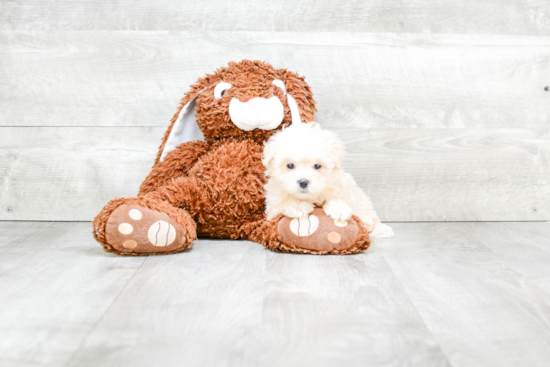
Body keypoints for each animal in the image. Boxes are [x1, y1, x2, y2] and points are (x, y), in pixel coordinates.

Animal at [262, 122, 392, 240]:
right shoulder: (272, 207)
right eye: (290, 165)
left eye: (317, 166)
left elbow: (337, 198)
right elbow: (281, 204)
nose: (303, 182)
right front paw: (298, 206)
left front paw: (339, 209)